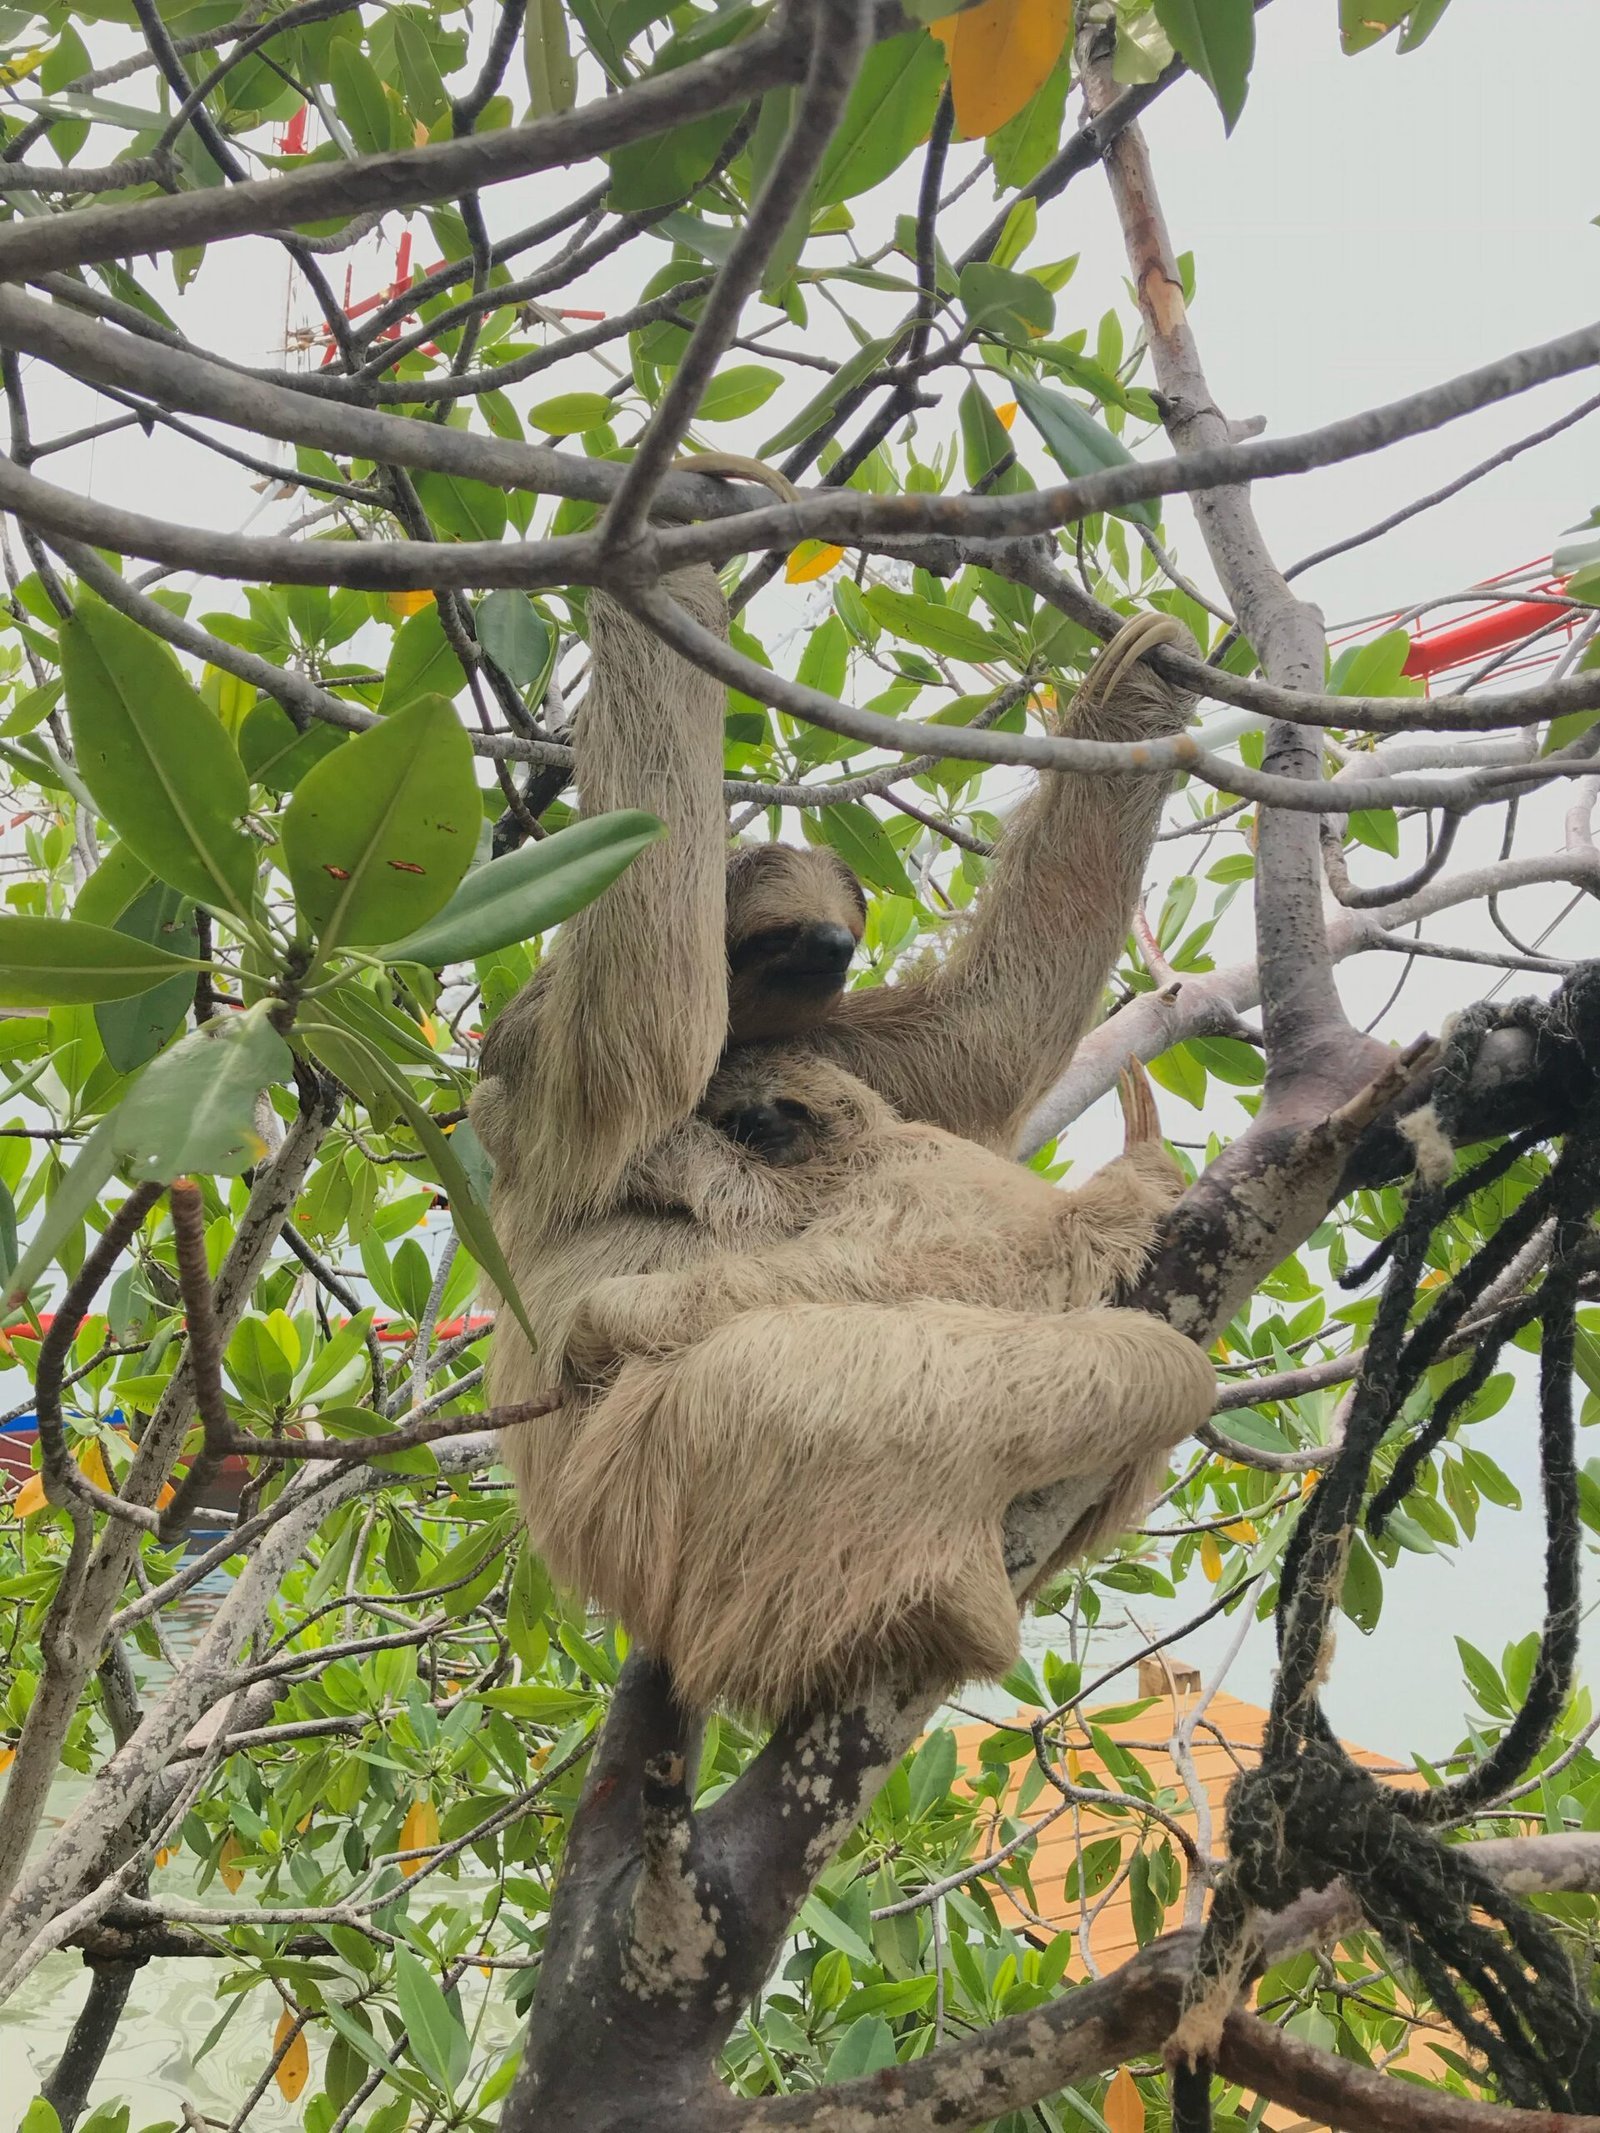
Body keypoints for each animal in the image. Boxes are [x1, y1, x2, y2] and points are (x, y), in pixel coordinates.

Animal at [544, 1047, 1215, 1718]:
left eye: (787, 1106)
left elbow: (848, 1263)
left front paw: (606, 1308)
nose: (760, 1125)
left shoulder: (885, 1181)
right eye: (737, 1117)